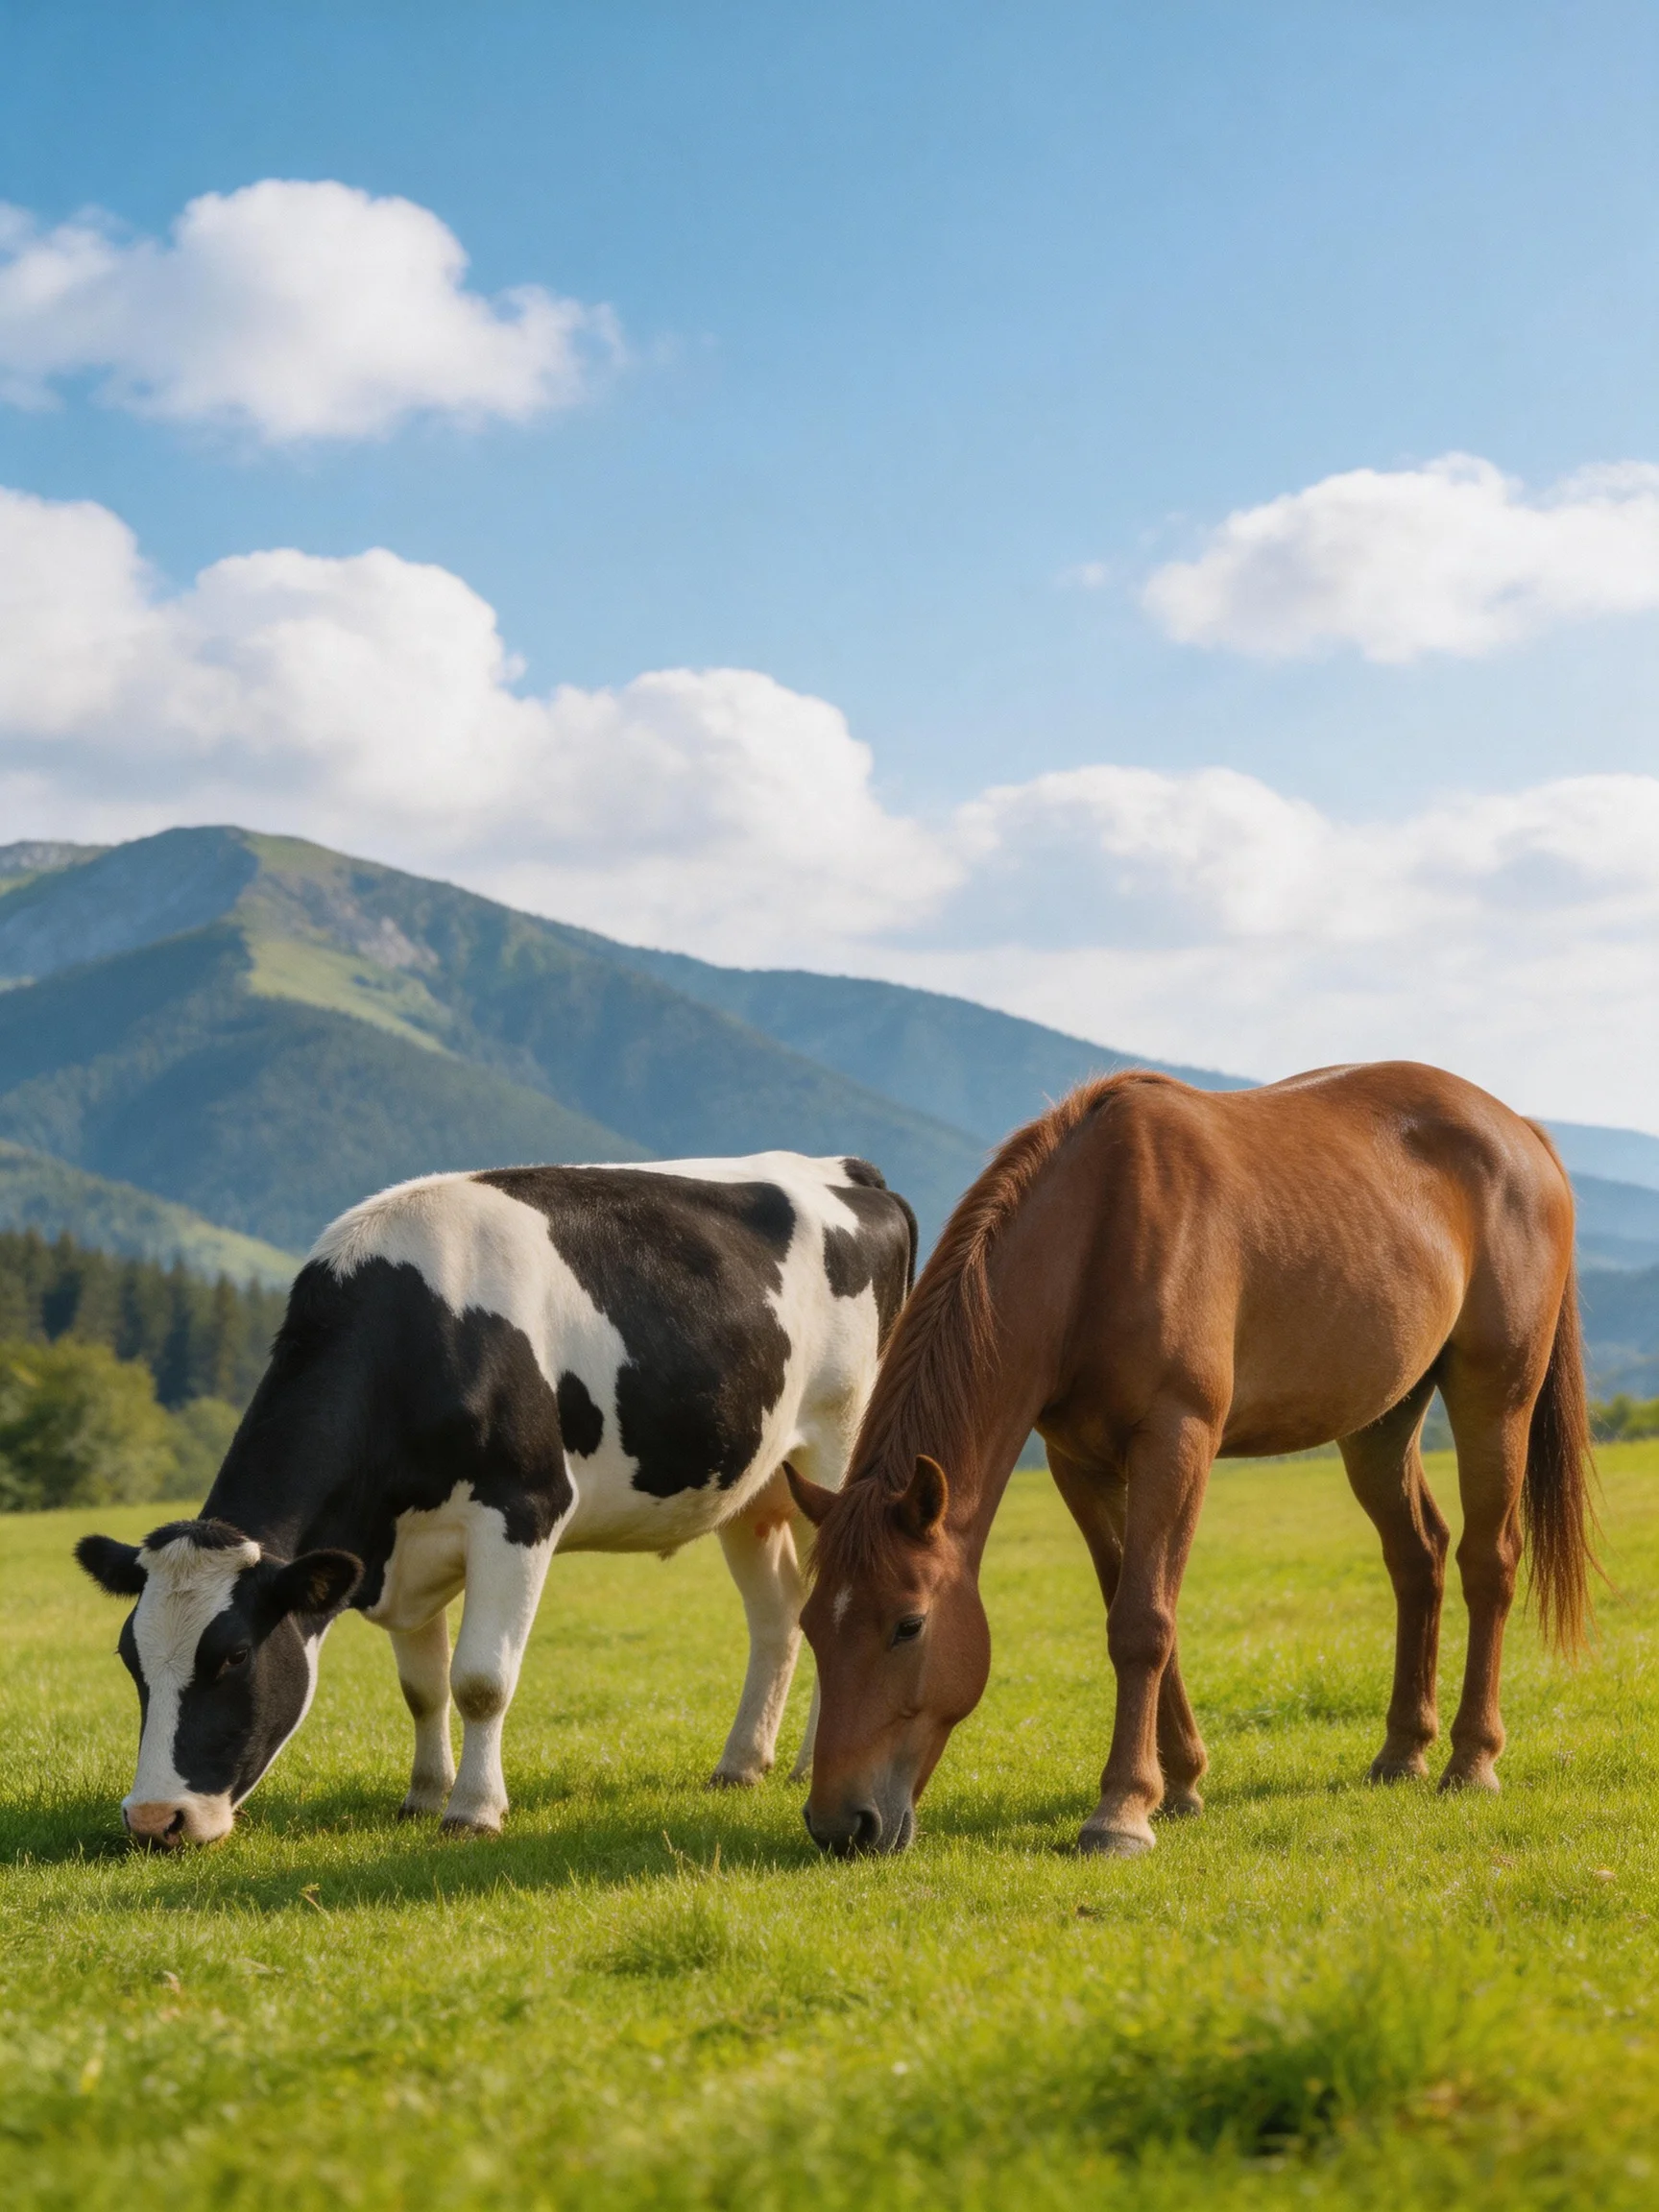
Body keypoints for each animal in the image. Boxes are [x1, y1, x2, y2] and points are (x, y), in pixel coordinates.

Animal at [76, 1154, 915, 1847]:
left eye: (234, 1656)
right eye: (129, 1657)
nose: (154, 1819)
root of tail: (843, 1169)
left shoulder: (522, 1509)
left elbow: (479, 1679)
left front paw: (473, 1810)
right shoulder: (397, 1547)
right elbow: (421, 1687)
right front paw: (422, 1796)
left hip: (839, 1449)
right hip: (753, 1486)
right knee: (778, 1614)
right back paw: (745, 1762)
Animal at [786, 1062, 1596, 1858]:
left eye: (908, 1625)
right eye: (812, 1625)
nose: (839, 1825)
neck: (1097, 1233)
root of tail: (1522, 1132)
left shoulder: (1177, 1439)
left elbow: (1143, 1622)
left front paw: (1120, 1812)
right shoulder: (1080, 1465)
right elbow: (1139, 1610)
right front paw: (1177, 1786)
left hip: (1496, 1396)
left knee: (1489, 1562)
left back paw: (1471, 1760)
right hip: (1381, 1424)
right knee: (1418, 1555)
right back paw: (1403, 1751)